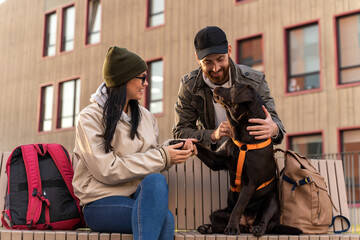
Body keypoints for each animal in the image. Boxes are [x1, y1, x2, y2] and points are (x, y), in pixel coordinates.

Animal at [172, 83, 300, 236]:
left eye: (232, 87)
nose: (216, 88)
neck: (243, 135)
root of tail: (247, 223)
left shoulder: (250, 183)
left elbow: (238, 207)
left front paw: (232, 228)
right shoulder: (217, 160)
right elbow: (199, 146)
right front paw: (179, 143)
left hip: (272, 199)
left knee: (263, 220)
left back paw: (256, 228)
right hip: (216, 213)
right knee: (218, 221)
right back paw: (208, 228)